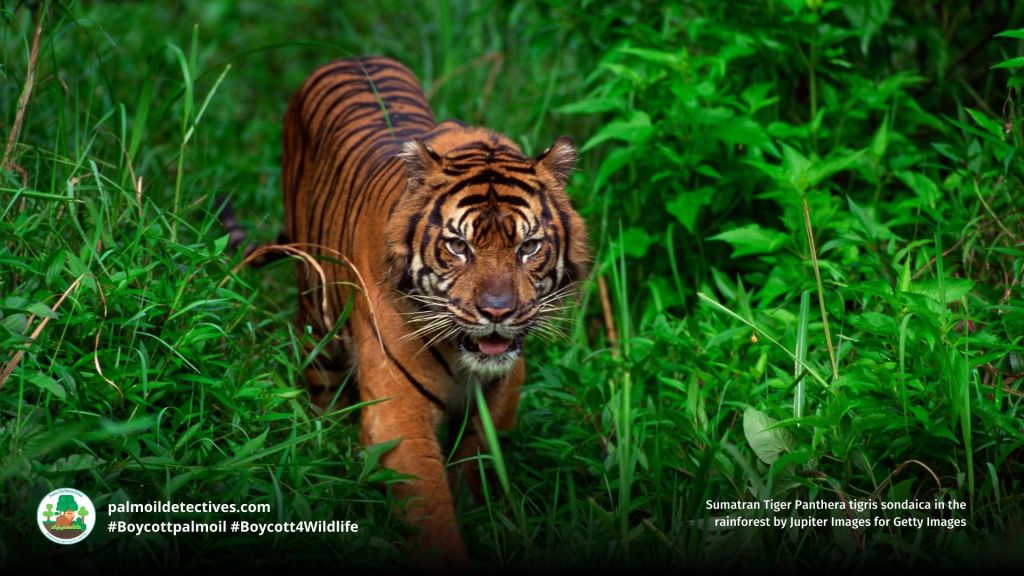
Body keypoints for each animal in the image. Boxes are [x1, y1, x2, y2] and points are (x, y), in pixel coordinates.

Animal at [278, 55, 589, 566]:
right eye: (458, 246)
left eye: (528, 247)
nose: (498, 312)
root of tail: (350, 57)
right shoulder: (396, 412)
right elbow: (431, 508)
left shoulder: (501, 397)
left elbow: (473, 466)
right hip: (315, 319)